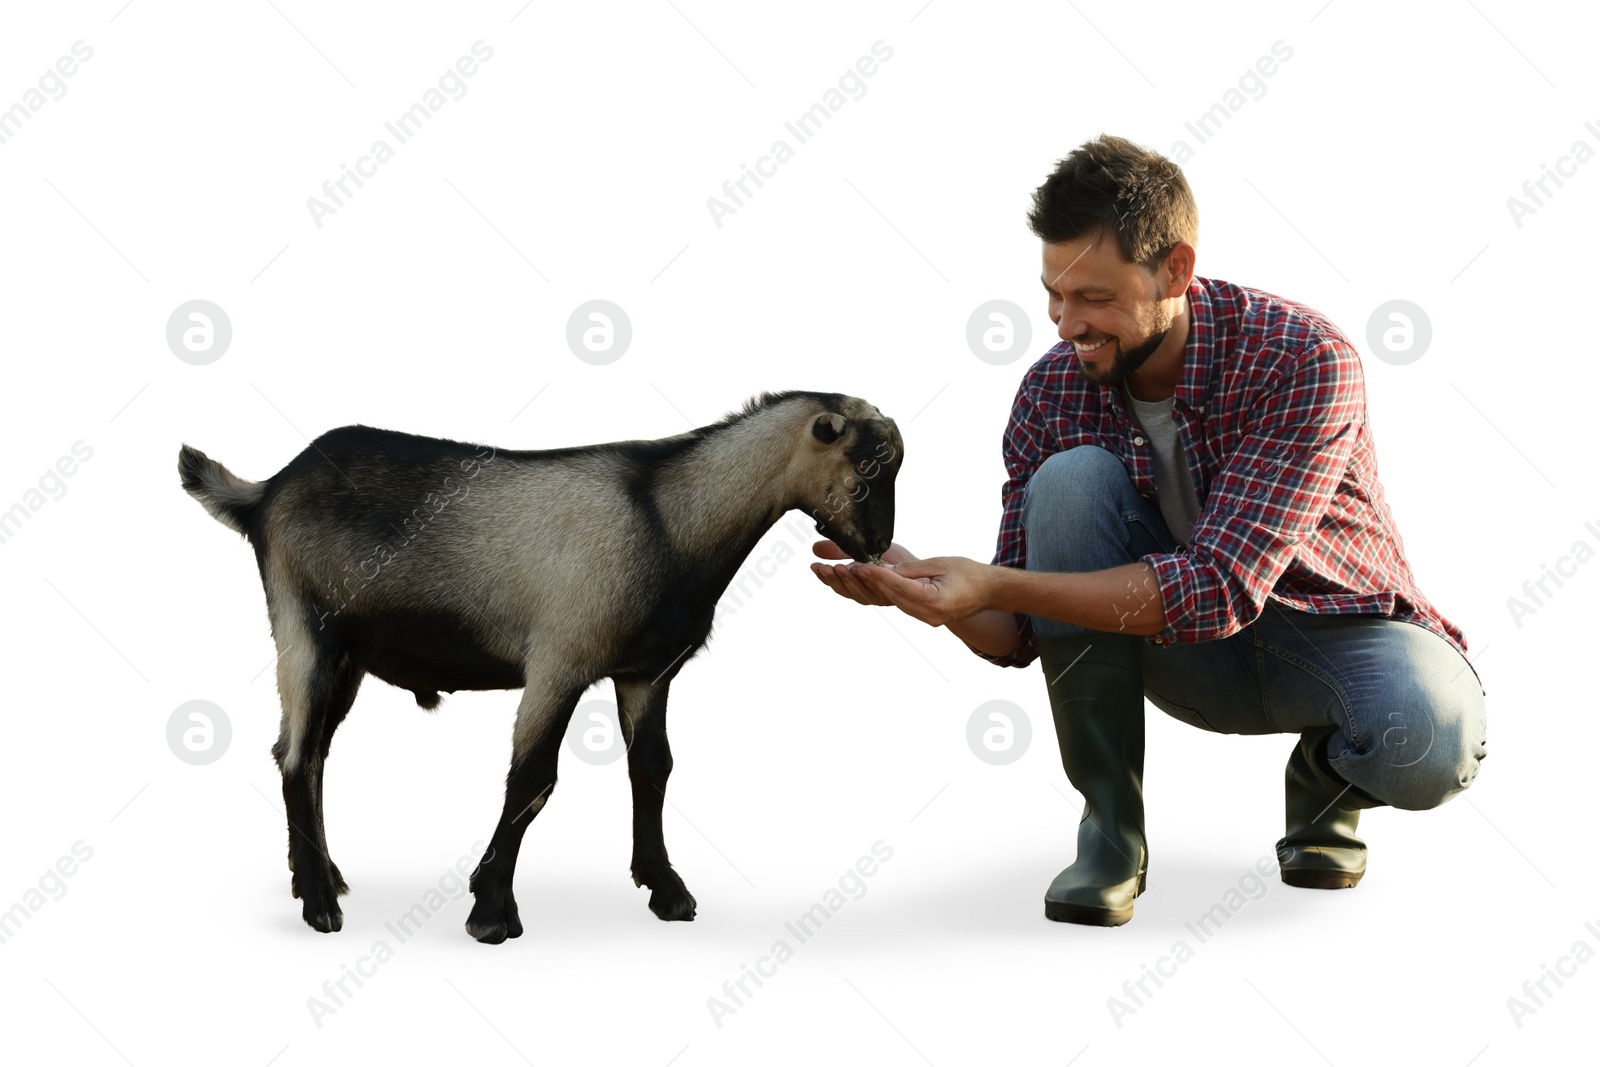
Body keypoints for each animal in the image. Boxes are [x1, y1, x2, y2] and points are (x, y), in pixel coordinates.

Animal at [178, 390, 902, 940]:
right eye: (869, 467)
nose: (877, 545)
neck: (668, 517)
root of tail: (267, 492)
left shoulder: (644, 672)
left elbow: (653, 768)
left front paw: (665, 889)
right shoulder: (560, 660)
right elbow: (532, 780)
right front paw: (490, 910)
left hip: (347, 654)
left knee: (308, 753)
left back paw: (321, 876)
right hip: (306, 627)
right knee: (298, 755)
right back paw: (321, 905)